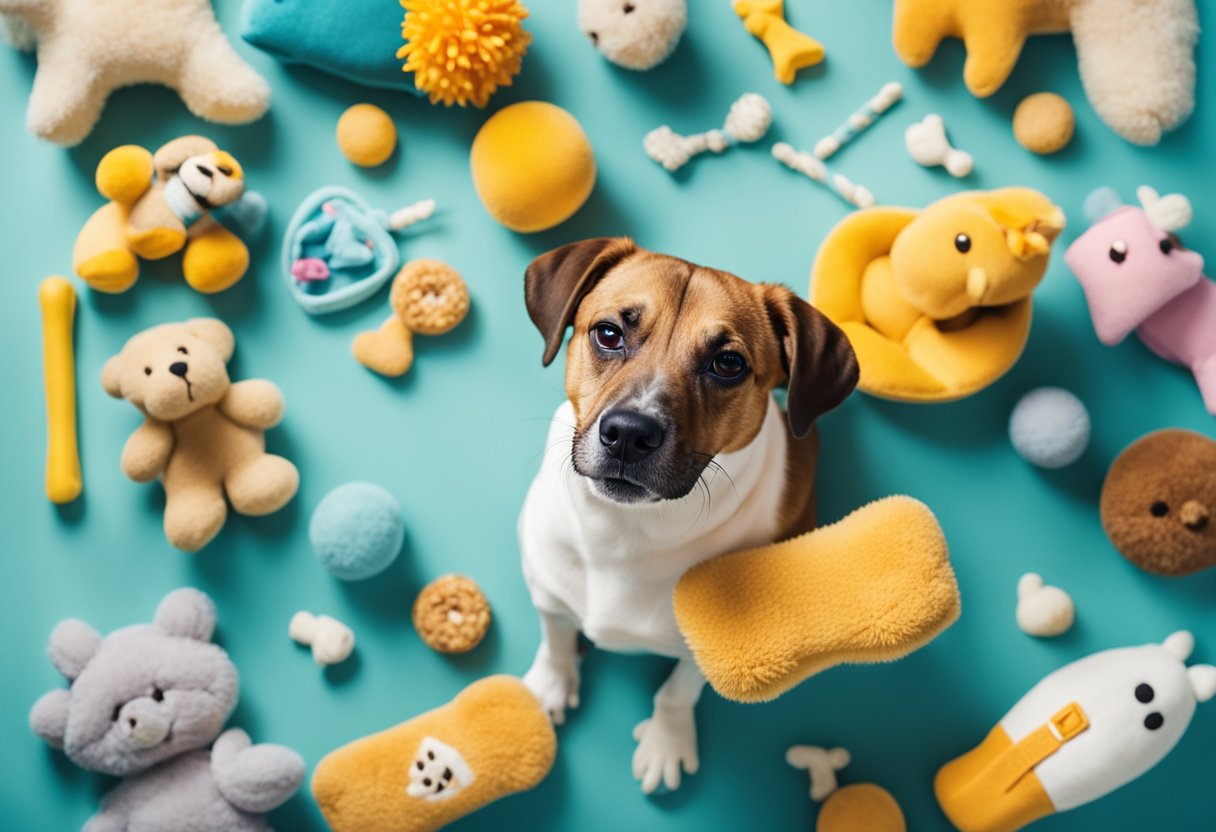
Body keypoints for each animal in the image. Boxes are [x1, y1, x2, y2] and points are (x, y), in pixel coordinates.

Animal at [518, 238, 860, 793]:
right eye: (608, 333)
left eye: (728, 363)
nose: (629, 433)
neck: (628, 532)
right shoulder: (547, 588)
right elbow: (556, 637)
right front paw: (550, 684)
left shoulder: (712, 650)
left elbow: (678, 690)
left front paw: (666, 743)